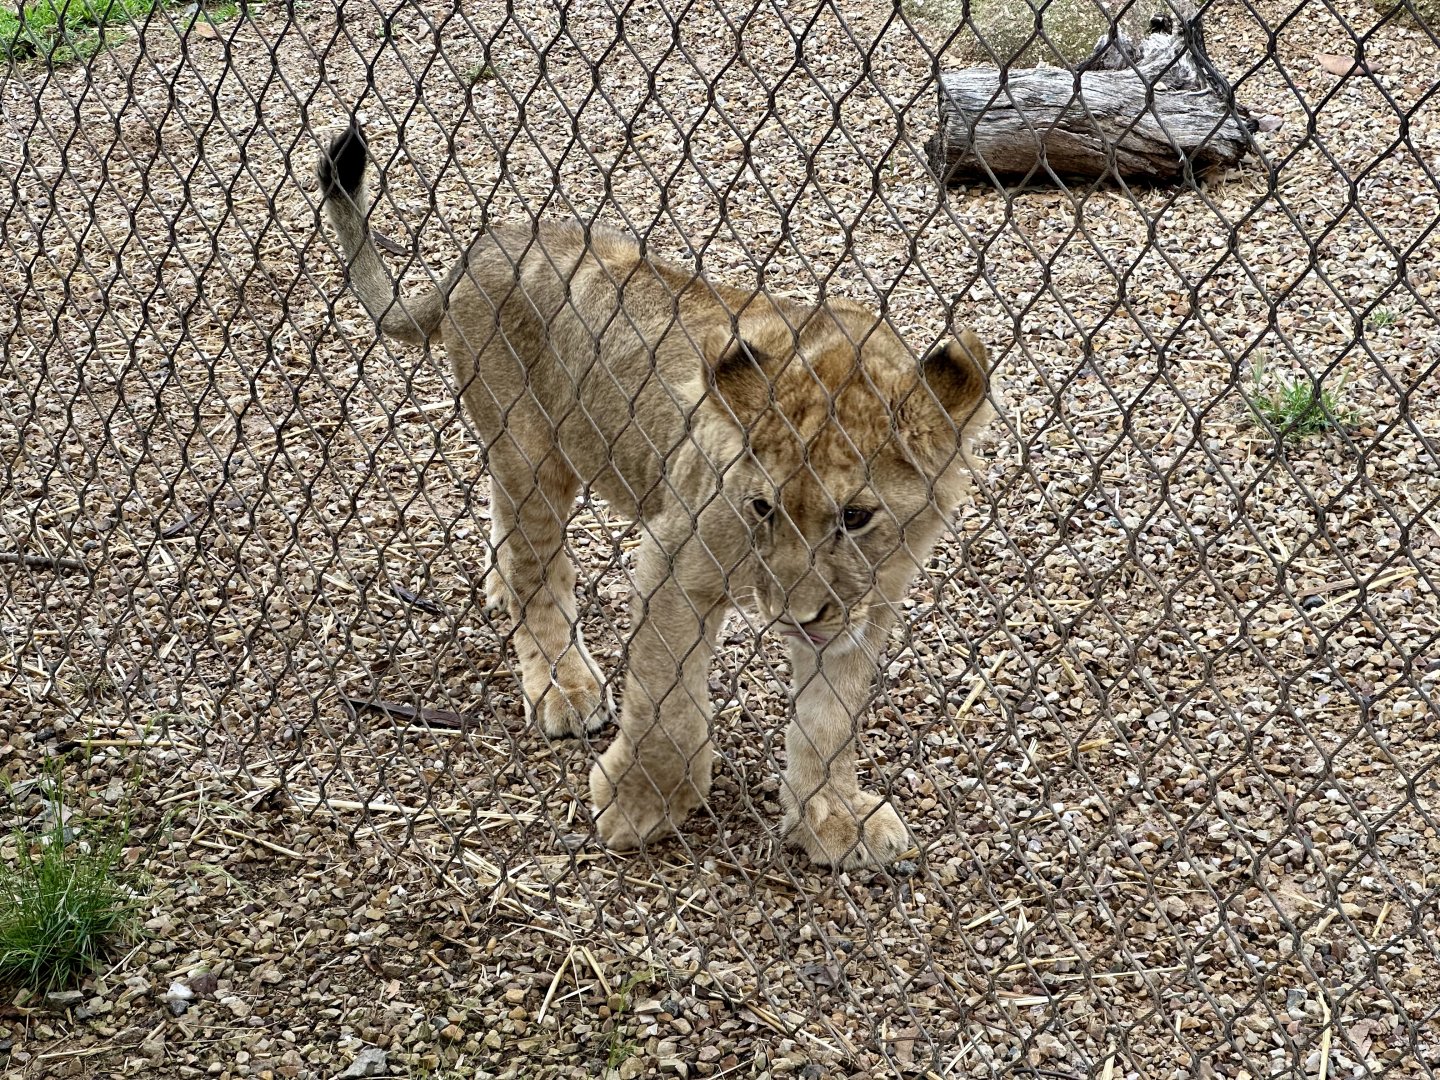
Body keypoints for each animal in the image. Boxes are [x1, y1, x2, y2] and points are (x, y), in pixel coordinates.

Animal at [317, 124, 994, 868]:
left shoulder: (864, 605)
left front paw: (832, 814)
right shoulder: (677, 558)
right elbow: (667, 704)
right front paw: (641, 805)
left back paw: (498, 587)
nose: (793, 617)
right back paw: (563, 683)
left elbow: (830, 719)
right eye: (762, 507)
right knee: (538, 569)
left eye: (857, 517)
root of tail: (486, 243)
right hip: (534, 454)